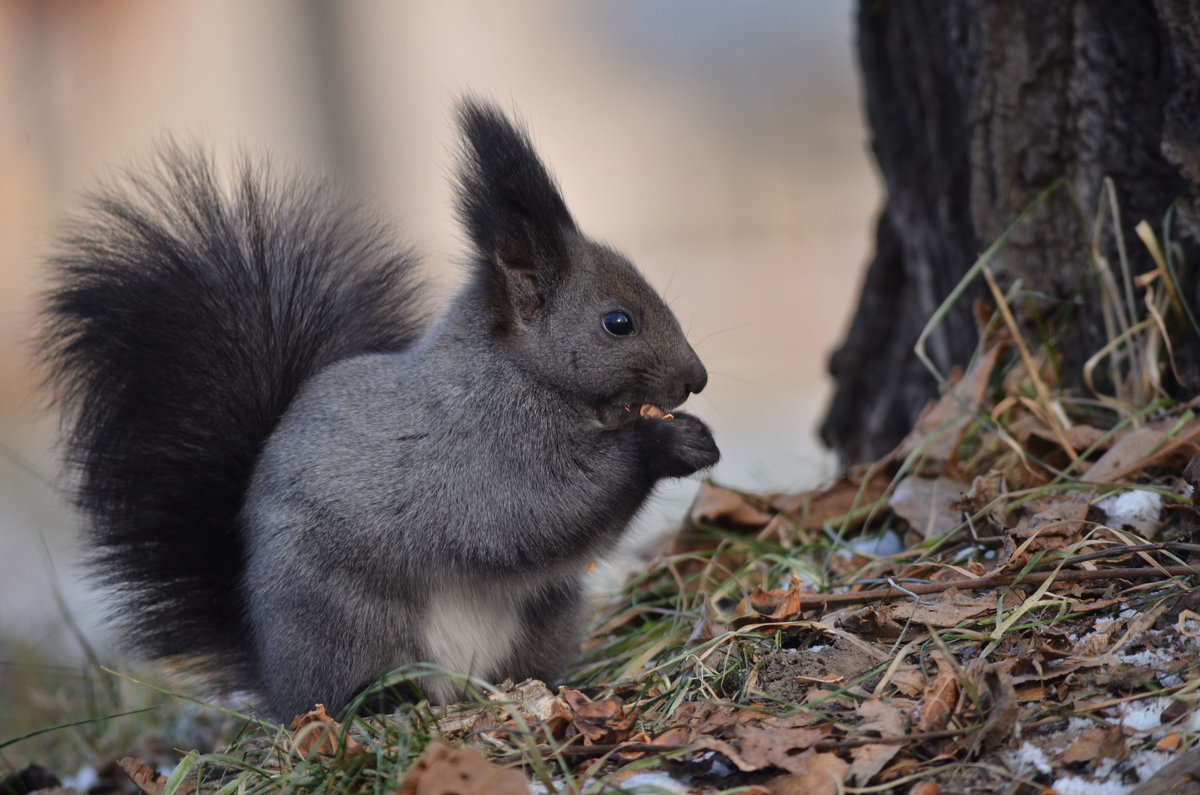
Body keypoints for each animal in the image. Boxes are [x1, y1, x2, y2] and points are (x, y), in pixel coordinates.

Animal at [39, 99, 720, 720]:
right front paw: (667, 446)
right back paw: (384, 704)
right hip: (350, 623)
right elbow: (539, 511)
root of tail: (277, 681)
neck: (522, 373)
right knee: (353, 690)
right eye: (617, 322)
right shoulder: (478, 452)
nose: (698, 379)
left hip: (543, 616)